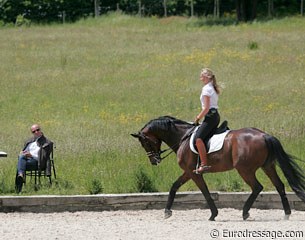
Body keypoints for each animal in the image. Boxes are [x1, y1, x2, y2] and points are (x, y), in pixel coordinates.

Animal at [131, 115, 304, 220]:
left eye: (144, 143)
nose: (154, 161)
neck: (182, 137)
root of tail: (264, 135)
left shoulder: (194, 173)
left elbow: (205, 192)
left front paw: (213, 214)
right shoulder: (188, 172)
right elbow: (174, 187)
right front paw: (167, 211)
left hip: (245, 169)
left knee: (257, 187)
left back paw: (245, 212)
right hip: (267, 166)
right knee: (279, 185)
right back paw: (287, 214)